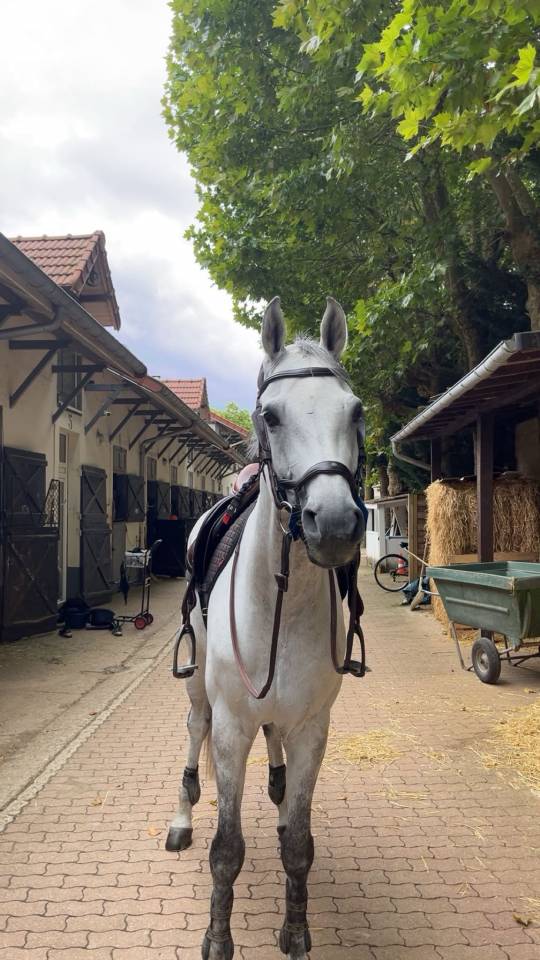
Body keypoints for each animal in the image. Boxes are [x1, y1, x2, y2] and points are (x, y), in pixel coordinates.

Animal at [166, 296, 366, 959]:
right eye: (270, 416)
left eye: (356, 412)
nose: (335, 522)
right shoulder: (232, 729)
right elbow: (226, 850)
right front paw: (217, 937)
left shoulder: (312, 728)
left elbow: (299, 845)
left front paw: (296, 931)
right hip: (199, 687)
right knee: (193, 733)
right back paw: (181, 817)